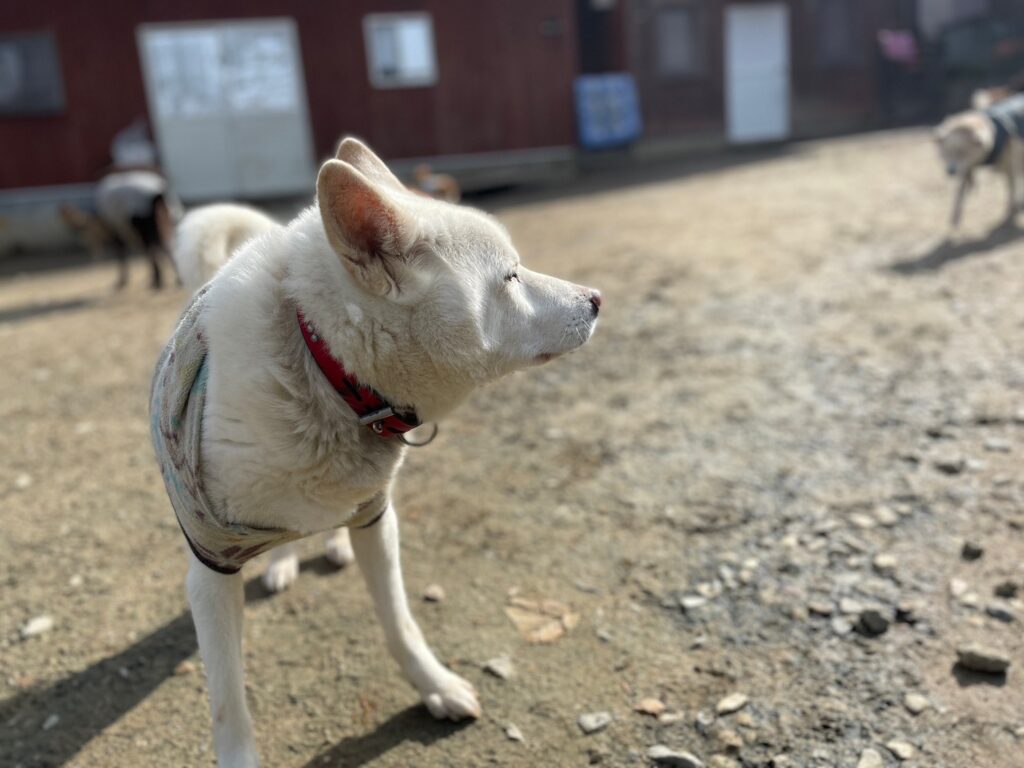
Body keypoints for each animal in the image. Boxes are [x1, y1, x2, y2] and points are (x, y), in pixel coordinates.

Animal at [150, 138, 601, 767]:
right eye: (511, 276)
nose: (597, 299)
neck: (323, 368)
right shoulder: (210, 566)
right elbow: (227, 701)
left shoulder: (375, 518)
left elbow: (399, 622)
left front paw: (435, 686)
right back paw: (284, 561)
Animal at [934, 95, 1024, 229]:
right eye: (946, 152)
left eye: (962, 152)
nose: (950, 171)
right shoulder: (967, 168)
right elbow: (960, 192)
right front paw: (955, 217)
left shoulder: (1014, 159)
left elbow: (1014, 185)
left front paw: (1014, 207)